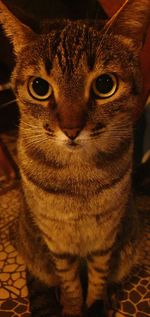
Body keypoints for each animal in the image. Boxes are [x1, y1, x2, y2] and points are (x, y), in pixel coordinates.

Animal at [0, 0, 149, 314]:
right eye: (39, 87)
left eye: (104, 84)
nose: (70, 129)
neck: (77, 178)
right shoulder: (58, 244)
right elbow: (69, 284)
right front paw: (72, 306)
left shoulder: (105, 238)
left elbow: (98, 277)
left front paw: (96, 303)